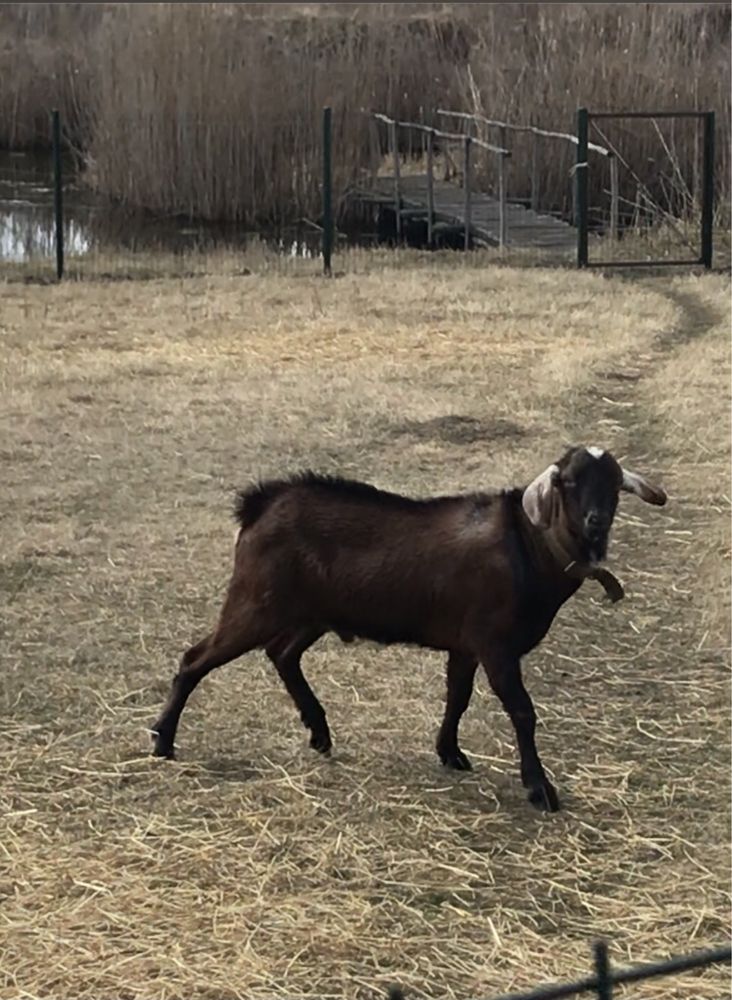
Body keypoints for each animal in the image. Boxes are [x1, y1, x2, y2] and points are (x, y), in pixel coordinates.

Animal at [152, 446, 668, 812]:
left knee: (282, 654)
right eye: (569, 482)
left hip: (309, 613)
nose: (596, 521)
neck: (530, 547)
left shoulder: (466, 645)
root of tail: (261, 503)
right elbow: (522, 712)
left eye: (615, 486)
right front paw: (540, 789)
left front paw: (450, 753)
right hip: (255, 603)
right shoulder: (495, 645)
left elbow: (457, 697)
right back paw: (163, 740)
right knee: (195, 659)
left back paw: (319, 730)